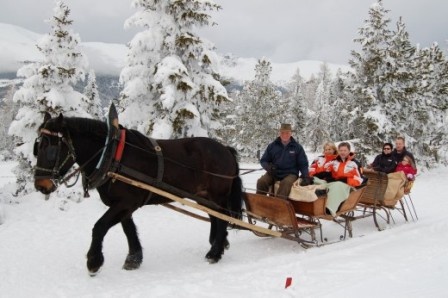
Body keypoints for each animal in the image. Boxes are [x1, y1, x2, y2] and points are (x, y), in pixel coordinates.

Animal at [34, 112, 245, 274]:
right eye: (37, 147)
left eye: (51, 147)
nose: (40, 185)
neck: (111, 156)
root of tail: (226, 149)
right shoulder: (122, 204)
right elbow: (128, 229)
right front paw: (134, 258)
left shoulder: (126, 202)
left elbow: (99, 227)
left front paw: (94, 261)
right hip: (204, 197)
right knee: (215, 217)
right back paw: (218, 244)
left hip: (217, 195)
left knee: (222, 218)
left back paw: (214, 253)